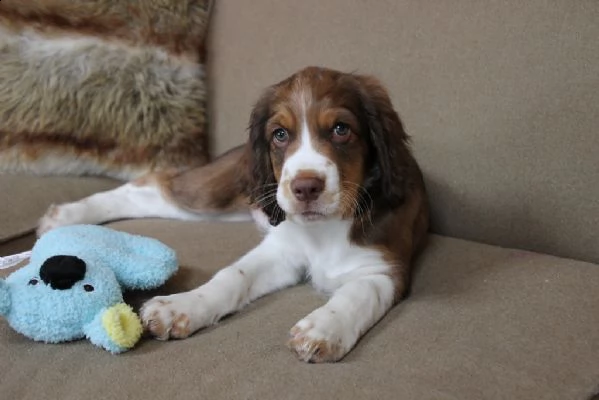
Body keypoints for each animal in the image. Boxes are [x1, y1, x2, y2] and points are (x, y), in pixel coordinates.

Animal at [37, 66, 428, 362]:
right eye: (280, 134)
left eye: (341, 129)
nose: (305, 188)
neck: (326, 229)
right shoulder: (281, 250)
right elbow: (232, 276)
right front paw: (180, 306)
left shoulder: (385, 270)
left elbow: (357, 295)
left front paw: (324, 328)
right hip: (214, 194)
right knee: (151, 184)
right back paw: (66, 215)